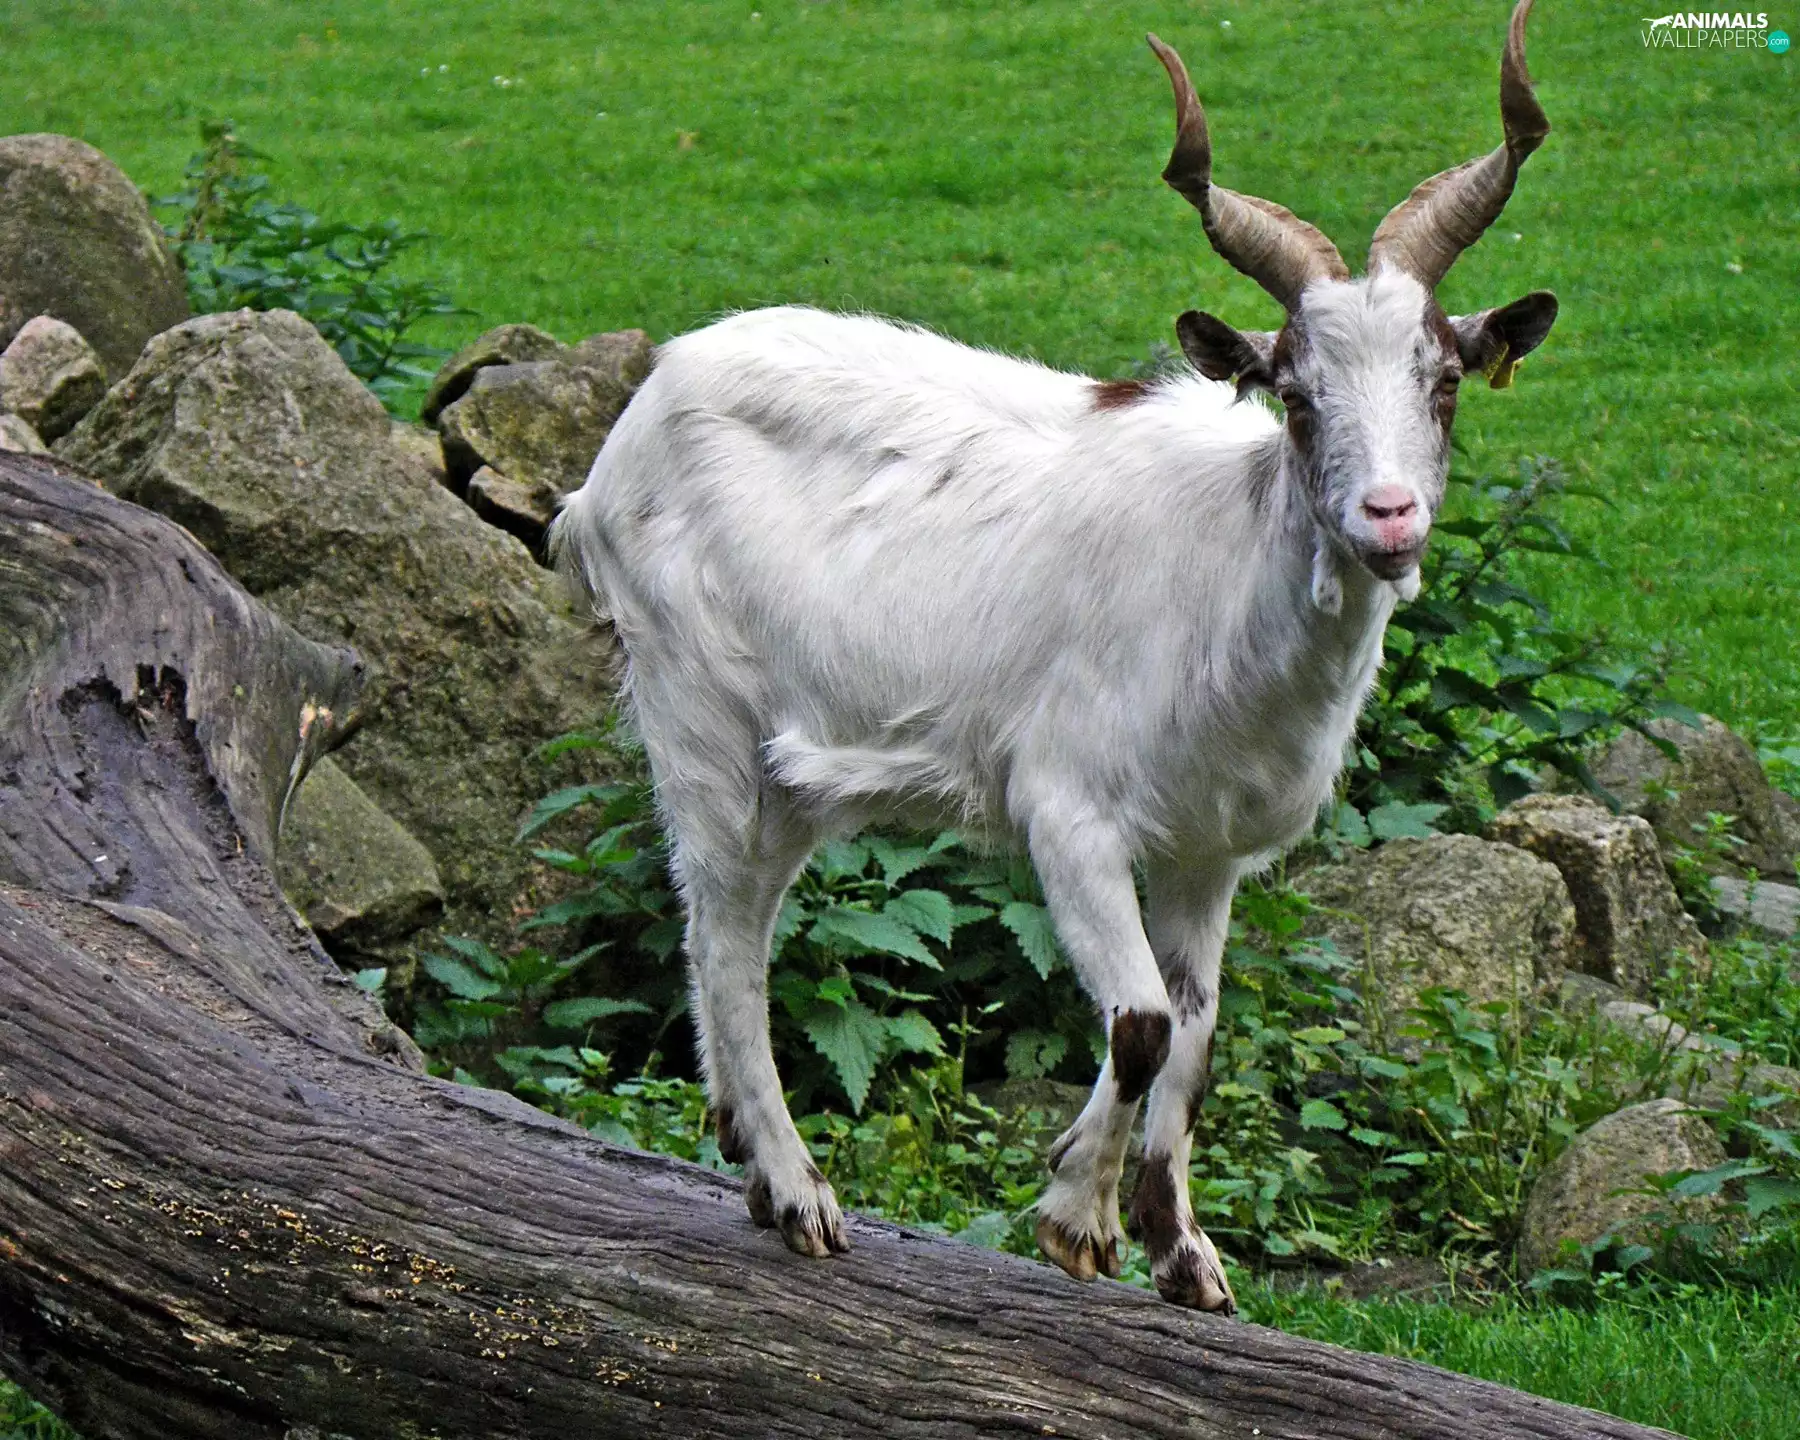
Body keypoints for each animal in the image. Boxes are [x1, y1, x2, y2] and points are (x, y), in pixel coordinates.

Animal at [553, 0, 1558, 1312]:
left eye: (1444, 382)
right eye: (1294, 391)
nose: (1389, 517)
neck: (1223, 593)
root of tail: (623, 437)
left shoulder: (1208, 853)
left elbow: (1196, 1030)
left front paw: (1186, 1256)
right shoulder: (1068, 808)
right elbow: (1138, 1022)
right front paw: (1076, 1217)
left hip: (795, 763)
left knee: (741, 911)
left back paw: (752, 1160)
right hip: (694, 695)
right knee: (721, 921)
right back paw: (798, 1193)